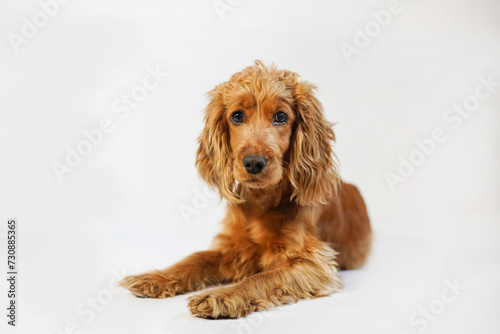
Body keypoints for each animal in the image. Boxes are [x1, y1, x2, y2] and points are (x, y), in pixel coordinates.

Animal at [121, 60, 372, 318]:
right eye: (237, 116)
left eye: (281, 116)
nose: (253, 163)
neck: (262, 201)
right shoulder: (235, 248)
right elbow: (197, 257)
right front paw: (156, 277)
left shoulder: (313, 262)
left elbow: (262, 278)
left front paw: (220, 296)